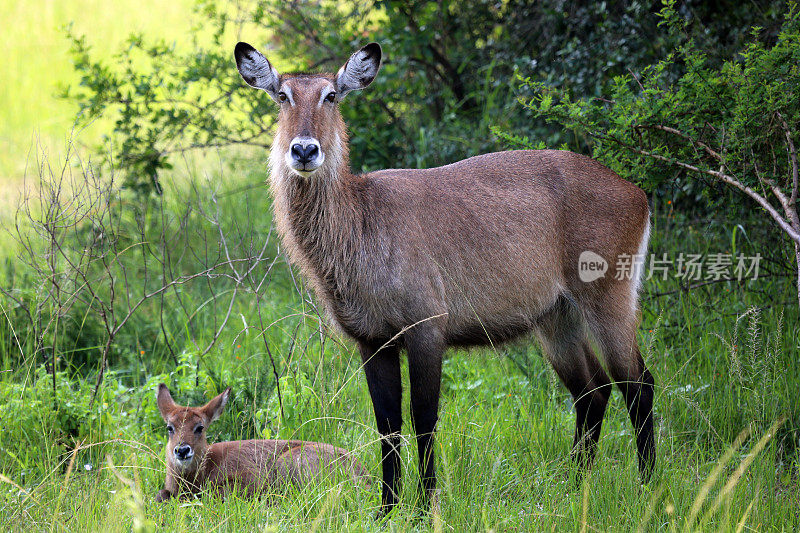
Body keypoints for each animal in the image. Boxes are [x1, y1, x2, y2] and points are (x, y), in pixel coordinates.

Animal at [155, 384, 368, 500]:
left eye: (200, 427)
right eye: (170, 427)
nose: (182, 450)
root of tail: (364, 475)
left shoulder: (250, 479)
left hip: (288, 463)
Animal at [233, 39, 656, 512]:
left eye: (331, 95)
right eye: (281, 95)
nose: (304, 151)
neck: (359, 222)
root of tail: (637, 193)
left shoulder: (427, 326)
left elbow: (424, 417)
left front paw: (425, 505)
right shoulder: (372, 340)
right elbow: (387, 422)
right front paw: (386, 508)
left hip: (609, 296)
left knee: (638, 384)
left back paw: (647, 489)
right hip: (556, 318)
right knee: (593, 391)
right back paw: (573, 485)